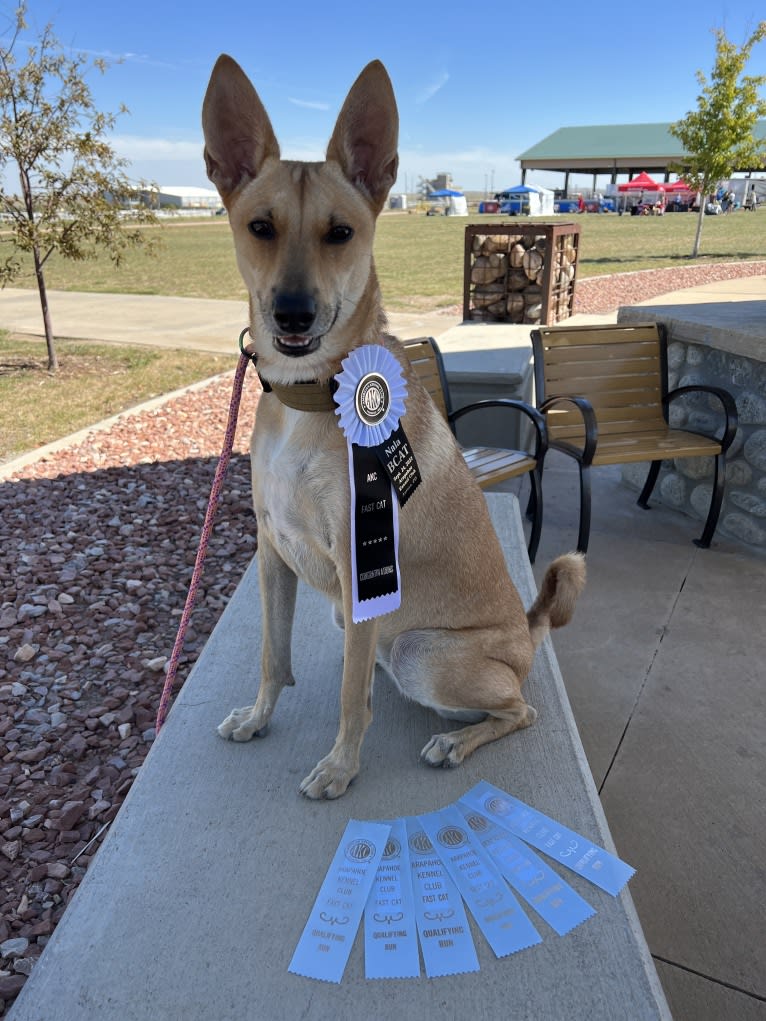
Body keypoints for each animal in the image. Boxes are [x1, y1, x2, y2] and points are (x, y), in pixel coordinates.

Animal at [201, 57, 584, 796]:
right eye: (260, 227)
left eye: (340, 232)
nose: (292, 314)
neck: (311, 398)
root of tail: (526, 632)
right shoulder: (273, 556)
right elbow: (271, 657)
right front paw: (260, 718)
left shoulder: (359, 574)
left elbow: (350, 699)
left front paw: (341, 767)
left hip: (421, 651)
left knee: (520, 708)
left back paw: (455, 741)